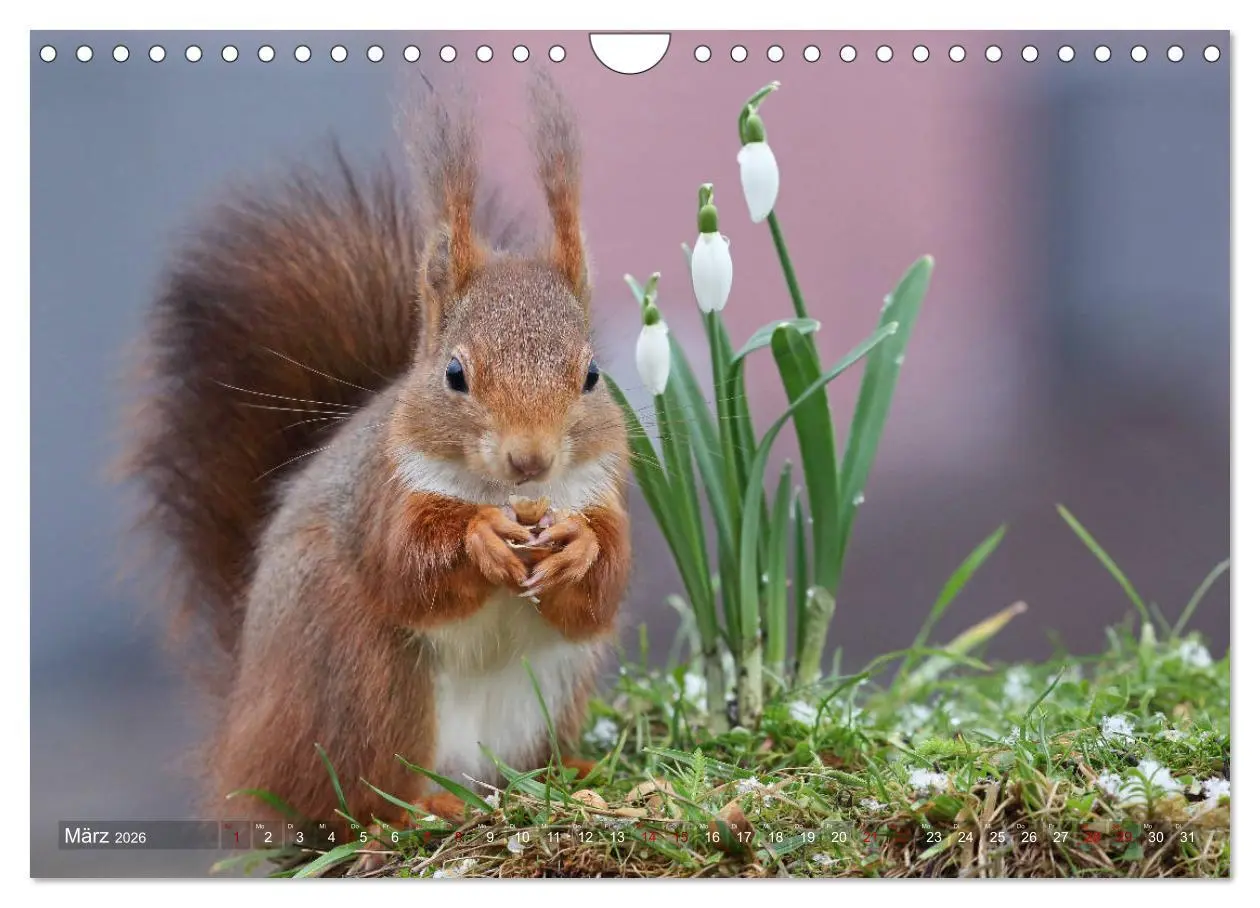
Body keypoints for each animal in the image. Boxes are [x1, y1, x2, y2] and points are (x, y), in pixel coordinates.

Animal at [122, 74, 631, 835]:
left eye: (592, 374)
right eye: (455, 374)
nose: (530, 461)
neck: (503, 494)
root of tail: (245, 740)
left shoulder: (602, 491)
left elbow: (601, 590)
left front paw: (578, 546)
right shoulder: (382, 493)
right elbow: (405, 566)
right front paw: (477, 537)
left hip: (556, 685)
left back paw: (570, 773)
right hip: (364, 673)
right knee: (357, 796)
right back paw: (419, 806)